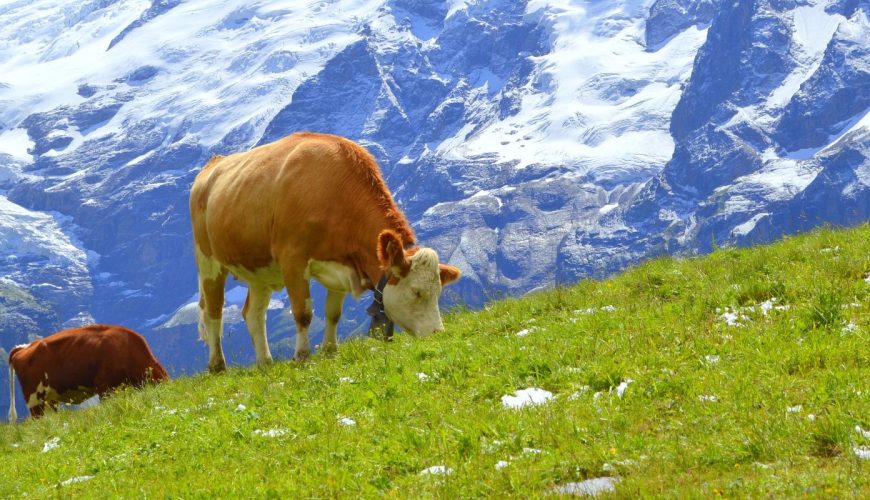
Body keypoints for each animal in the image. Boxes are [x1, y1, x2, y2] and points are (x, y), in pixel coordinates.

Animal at [190, 132, 462, 372]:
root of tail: (213, 164)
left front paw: (330, 350)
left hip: (259, 269)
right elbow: (303, 313)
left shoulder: (342, 265)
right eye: (416, 292)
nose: (437, 333)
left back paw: (264, 362)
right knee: (214, 312)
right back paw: (217, 365)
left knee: (253, 314)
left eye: (439, 291)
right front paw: (302, 356)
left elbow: (333, 313)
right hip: (208, 261)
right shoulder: (293, 259)